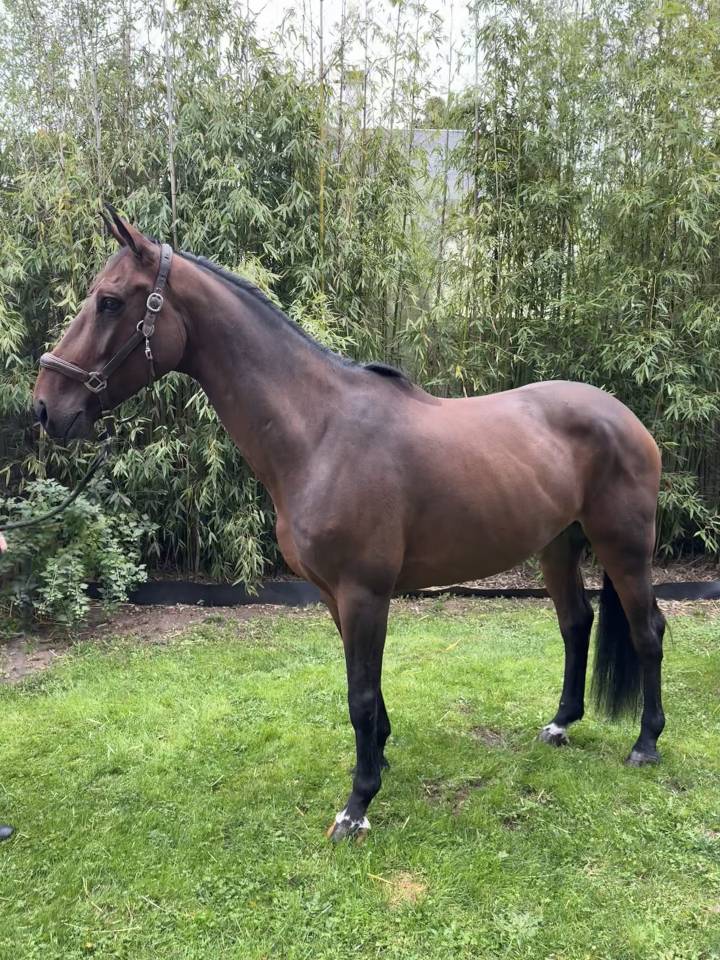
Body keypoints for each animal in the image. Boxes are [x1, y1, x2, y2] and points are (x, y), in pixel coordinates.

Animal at [32, 206, 666, 841]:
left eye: (110, 302)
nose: (44, 407)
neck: (320, 433)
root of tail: (624, 416)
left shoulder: (364, 592)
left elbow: (359, 693)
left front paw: (357, 805)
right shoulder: (334, 595)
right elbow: (368, 689)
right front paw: (378, 758)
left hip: (624, 547)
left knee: (648, 630)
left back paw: (646, 743)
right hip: (557, 545)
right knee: (576, 623)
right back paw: (561, 724)